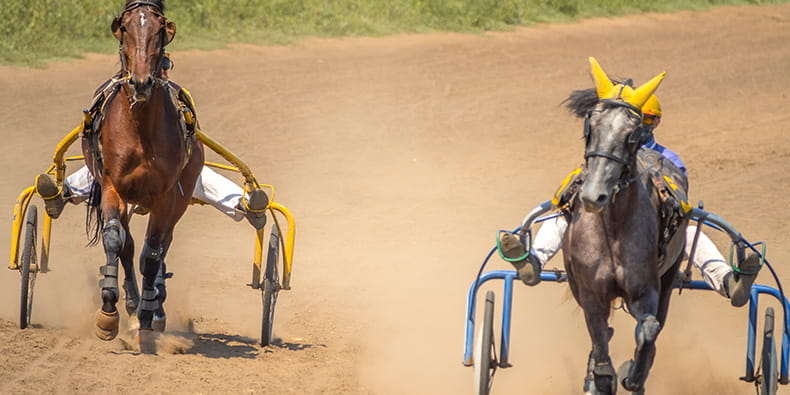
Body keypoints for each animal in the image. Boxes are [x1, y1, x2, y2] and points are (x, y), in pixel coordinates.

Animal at [83, 0, 204, 352]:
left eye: (159, 28)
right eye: (124, 27)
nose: (140, 82)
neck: (140, 127)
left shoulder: (166, 196)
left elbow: (152, 255)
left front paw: (149, 320)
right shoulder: (112, 186)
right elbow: (115, 240)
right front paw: (108, 314)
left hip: (179, 200)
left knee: (161, 245)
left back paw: (153, 306)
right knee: (127, 246)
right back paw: (132, 305)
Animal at [568, 58, 688, 392]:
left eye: (631, 134)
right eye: (590, 127)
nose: (593, 194)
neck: (612, 229)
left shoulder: (646, 290)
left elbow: (648, 330)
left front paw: (634, 374)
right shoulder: (590, 294)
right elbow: (599, 346)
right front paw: (598, 378)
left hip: (669, 278)